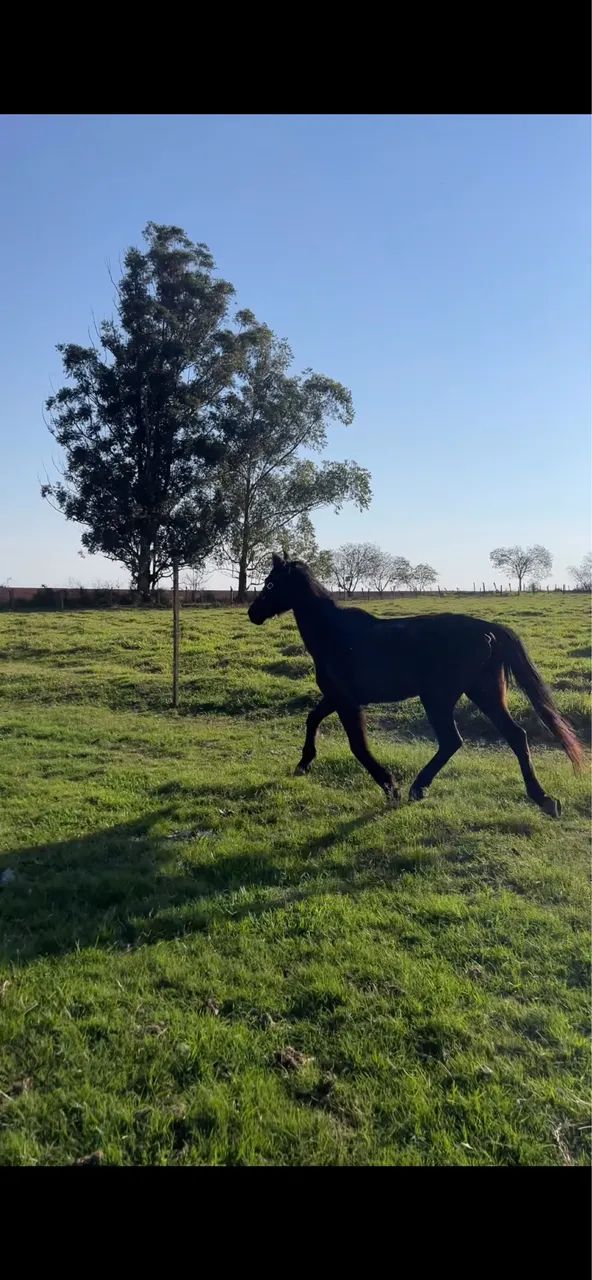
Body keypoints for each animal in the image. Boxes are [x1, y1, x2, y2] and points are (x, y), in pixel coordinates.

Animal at [247, 554, 583, 818]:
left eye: (270, 583)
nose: (253, 613)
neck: (334, 634)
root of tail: (488, 630)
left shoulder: (346, 701)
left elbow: (358, 745)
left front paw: (389, 786)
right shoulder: (335, 697)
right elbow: (312, 719)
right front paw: (304, 763)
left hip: (440, 697)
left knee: (453, 740)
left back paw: (416, 788)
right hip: (484, 692)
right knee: (514, 736)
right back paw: (544, 800)